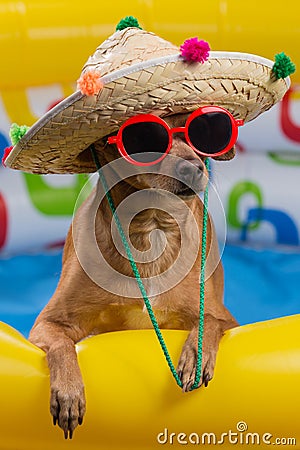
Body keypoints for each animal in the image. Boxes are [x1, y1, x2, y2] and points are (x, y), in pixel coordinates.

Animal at [29, 110, 238, 438]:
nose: (193, 169)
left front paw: (196, 354)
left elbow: (210, 322)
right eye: (144, 137)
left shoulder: (228, 320)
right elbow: (63, 346)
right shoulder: (48, 324)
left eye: (204, 130)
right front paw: (68, 391)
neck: (151, 230)